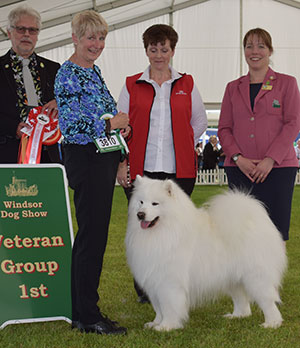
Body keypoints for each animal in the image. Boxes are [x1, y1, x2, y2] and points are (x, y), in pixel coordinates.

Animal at [125, 175, 288, 330]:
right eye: (141, 202)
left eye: (155, 203)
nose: (140, 214)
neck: (165, 231)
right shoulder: (154, 283)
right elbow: (158, 309)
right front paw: (155, 324)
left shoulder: (169, 283)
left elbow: (169, 308)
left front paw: (167, 326)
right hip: (233, 279)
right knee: (243, 302)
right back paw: (237, 316)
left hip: (256, 278)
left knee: (268, 301)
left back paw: (272, 323)